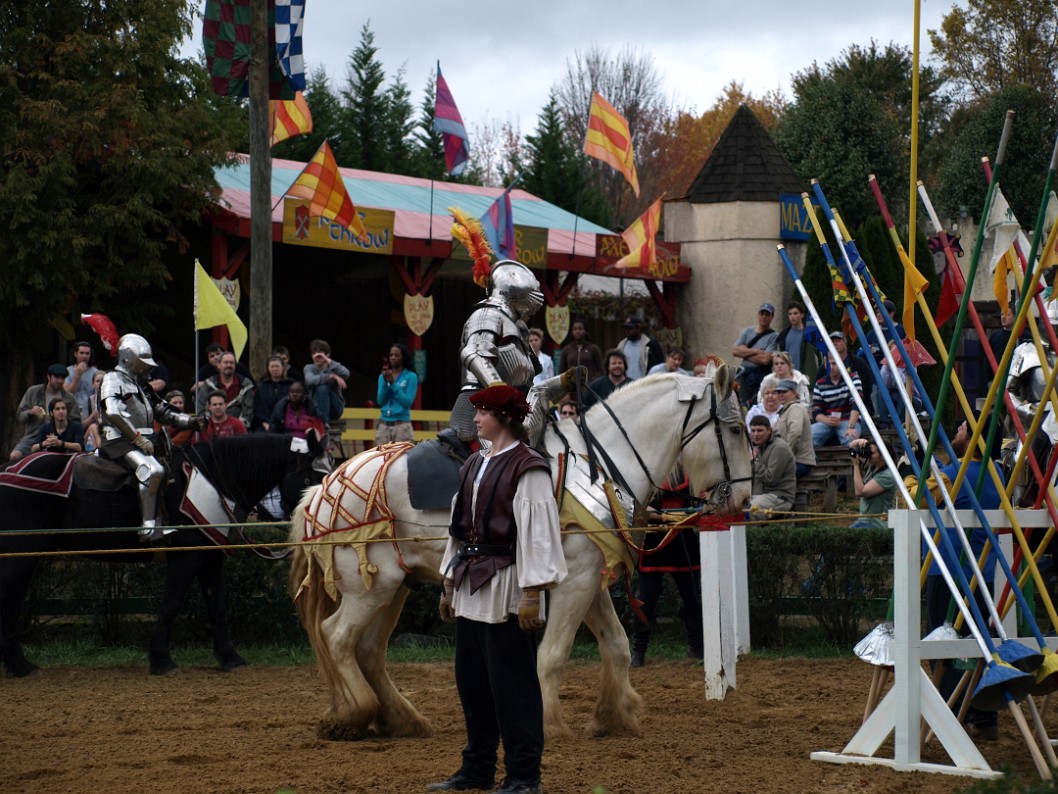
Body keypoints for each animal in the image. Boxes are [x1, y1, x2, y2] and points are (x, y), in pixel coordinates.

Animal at [0, 431, 327, 681]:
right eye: (312, 475)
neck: (214, 478)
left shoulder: (210, 558)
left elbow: (217, 607)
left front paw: (230, 658)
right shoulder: (186, 560)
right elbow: (171, 605)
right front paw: (161, 660)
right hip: (20, 556)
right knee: (11, 603)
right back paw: (19, 666)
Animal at [289, 370, 753, 745]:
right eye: (733, 429)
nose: (745, 499)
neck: (600, 464)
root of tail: (319, 489)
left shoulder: (589, 579)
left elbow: (617, 646)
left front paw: (614, 717)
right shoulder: (574, 583)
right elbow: (552, 656)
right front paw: (550, 725)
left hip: (393, 587)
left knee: (368, 649)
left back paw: (402, 719)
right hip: (369, 586)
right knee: (337, 637)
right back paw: (354, 714)